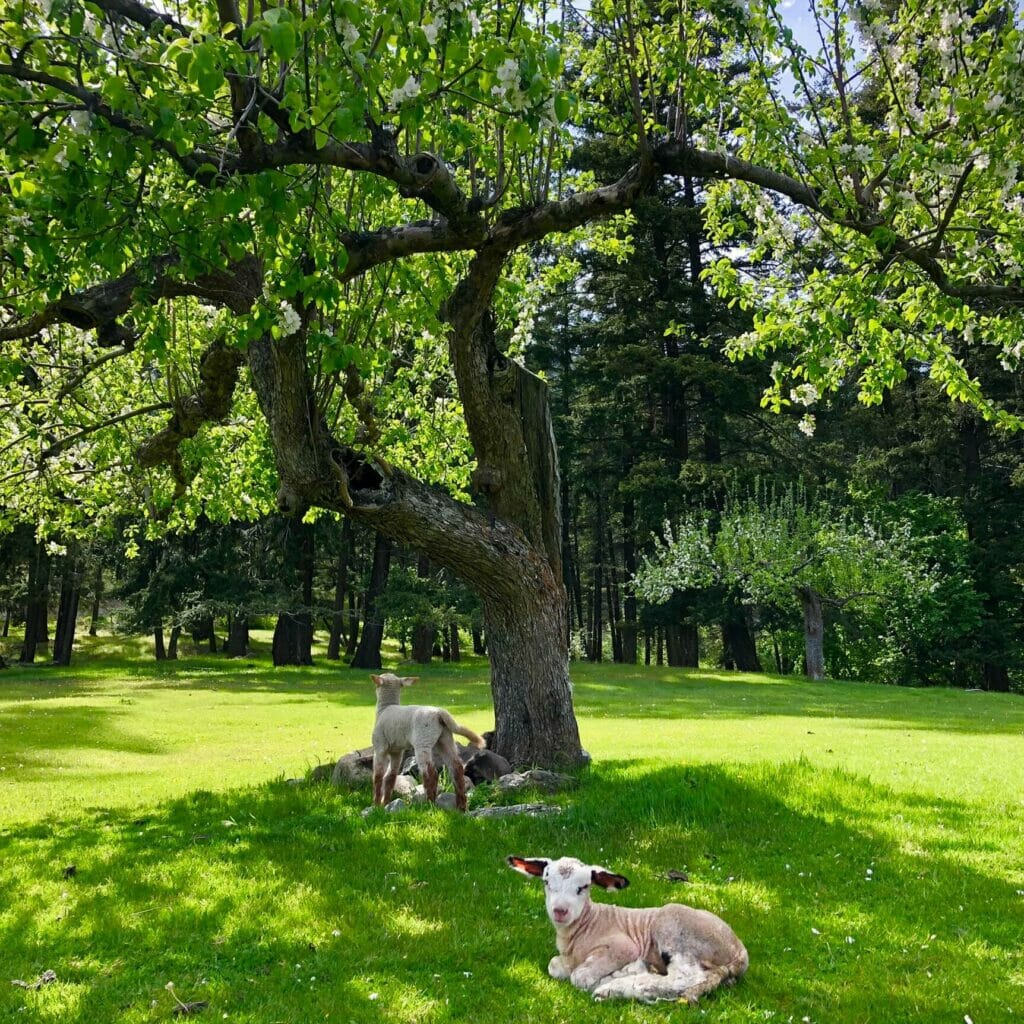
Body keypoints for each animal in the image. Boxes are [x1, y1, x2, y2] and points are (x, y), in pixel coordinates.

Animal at [368, 675, 483, 811]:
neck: (385, 708)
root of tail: (439, 712)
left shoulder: (379, 747)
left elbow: (378, 776)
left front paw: (376, 804)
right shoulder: (397, 751)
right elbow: (390, 776)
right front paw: (385, 803)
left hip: (423, 742)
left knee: (430, 772)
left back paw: (429, 804)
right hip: (445, 739)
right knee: (456, 767)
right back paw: (461, 806)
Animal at [507, 851, 749, 1003]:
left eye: (583, 887)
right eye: (547, 882)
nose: (560, 911)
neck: (586, 924)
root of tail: (739, 952)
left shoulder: (623, 946)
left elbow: (580, 977)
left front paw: (603, 979)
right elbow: (554, 965)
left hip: (675, 930)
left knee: (685, 977)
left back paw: (614, 988)